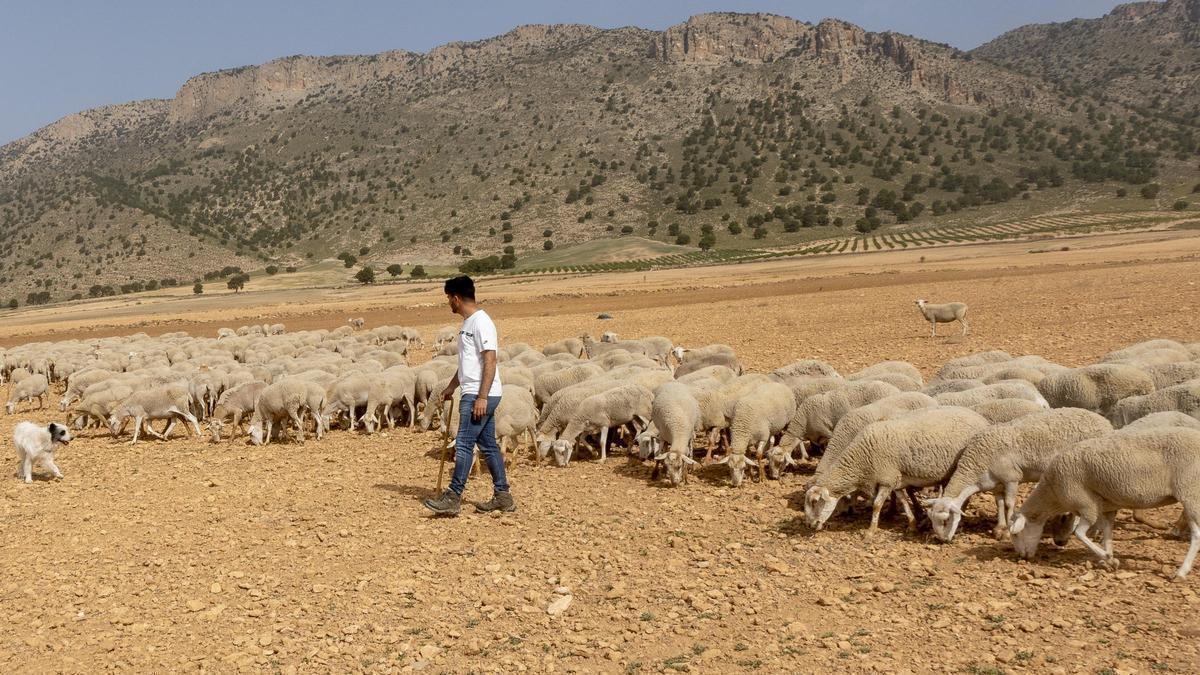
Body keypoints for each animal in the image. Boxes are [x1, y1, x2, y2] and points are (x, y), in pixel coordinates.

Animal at [806, 401, 984, 533]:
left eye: (814, 502)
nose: (809, 525)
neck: (861, 459)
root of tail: (980, 418)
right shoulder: (895, 480)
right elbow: (903, 501)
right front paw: (912, 524)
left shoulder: (886, 479)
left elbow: (877, 505)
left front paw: (871, 531)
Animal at [921, 403, 1108, 540]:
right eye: (930, 518)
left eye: (946, 519)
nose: (942, 539)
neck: (977, 464)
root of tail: (1104, 422)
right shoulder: (995, 484)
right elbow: (999, 503)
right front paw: (999, 528)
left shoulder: (1012, 478)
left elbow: (1009, 504)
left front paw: (1007, 531)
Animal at [1012, 427, 1200, 576]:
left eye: (1015, 534)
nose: (1021, 557)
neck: (1052, 492)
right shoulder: (1108, 507)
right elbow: (1108, 534)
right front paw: (1110, 561)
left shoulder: (1086, 504)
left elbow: (1079, 534)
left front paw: (1106, 556)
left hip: (1190, 490)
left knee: (1197, 534)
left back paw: (1181, 572)